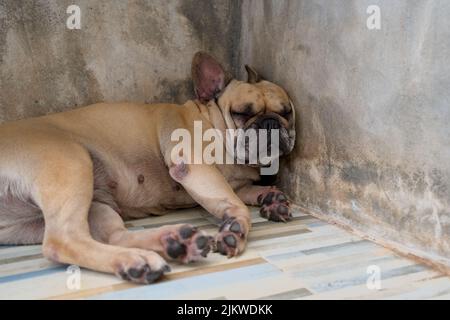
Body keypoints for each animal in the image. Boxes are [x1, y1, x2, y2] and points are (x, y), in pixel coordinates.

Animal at [0, 53, 298, 284]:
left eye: (287, 112)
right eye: (242, 113)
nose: (271, 123)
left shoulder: (234, 182)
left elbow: (242, 192)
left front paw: (271, 197)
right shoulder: (196, 168)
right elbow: (233, 202)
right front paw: (236, 228)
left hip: (90, 205)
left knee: (115, 235)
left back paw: (171, 243)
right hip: (71, 162)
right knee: (63, 241)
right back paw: (139, 260)